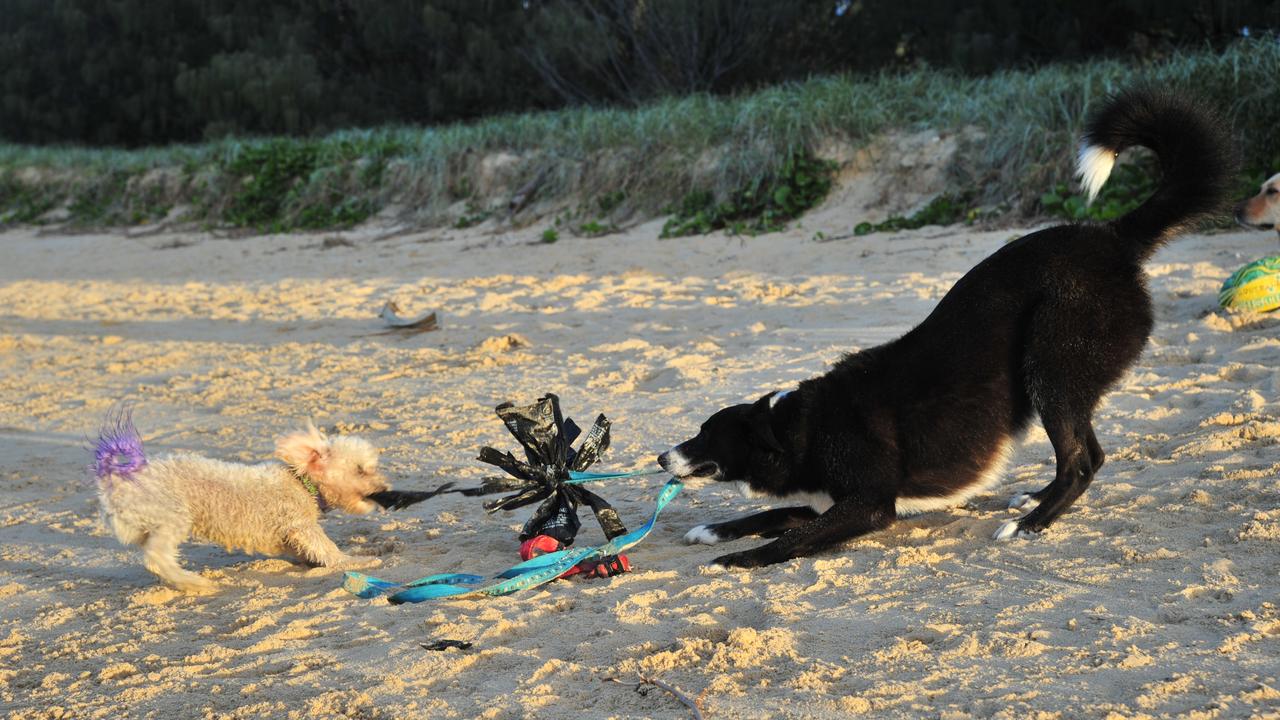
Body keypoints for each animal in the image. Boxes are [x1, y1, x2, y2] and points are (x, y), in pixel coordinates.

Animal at [93, 412, 384, 591]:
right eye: (361, 470)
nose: (383, 488)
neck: (301, 482)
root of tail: (116, 479)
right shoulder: (300, 525)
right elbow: (327, 549)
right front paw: (355, 561)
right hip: (172, 516)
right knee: (156, 557)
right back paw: (193, 583)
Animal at [655, 87, 1233, 566]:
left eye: (705, 434)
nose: (660, 456)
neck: (800, 426)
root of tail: (1111, 238)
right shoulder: (821, 502)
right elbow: (771, 516)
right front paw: (715, 530)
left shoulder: (868, 506)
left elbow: (789, 538)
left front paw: (732, 560)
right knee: (1083, 453)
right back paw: (1035, 500)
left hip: (1051, 371)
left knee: (1082, 460)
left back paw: (1029, 524)